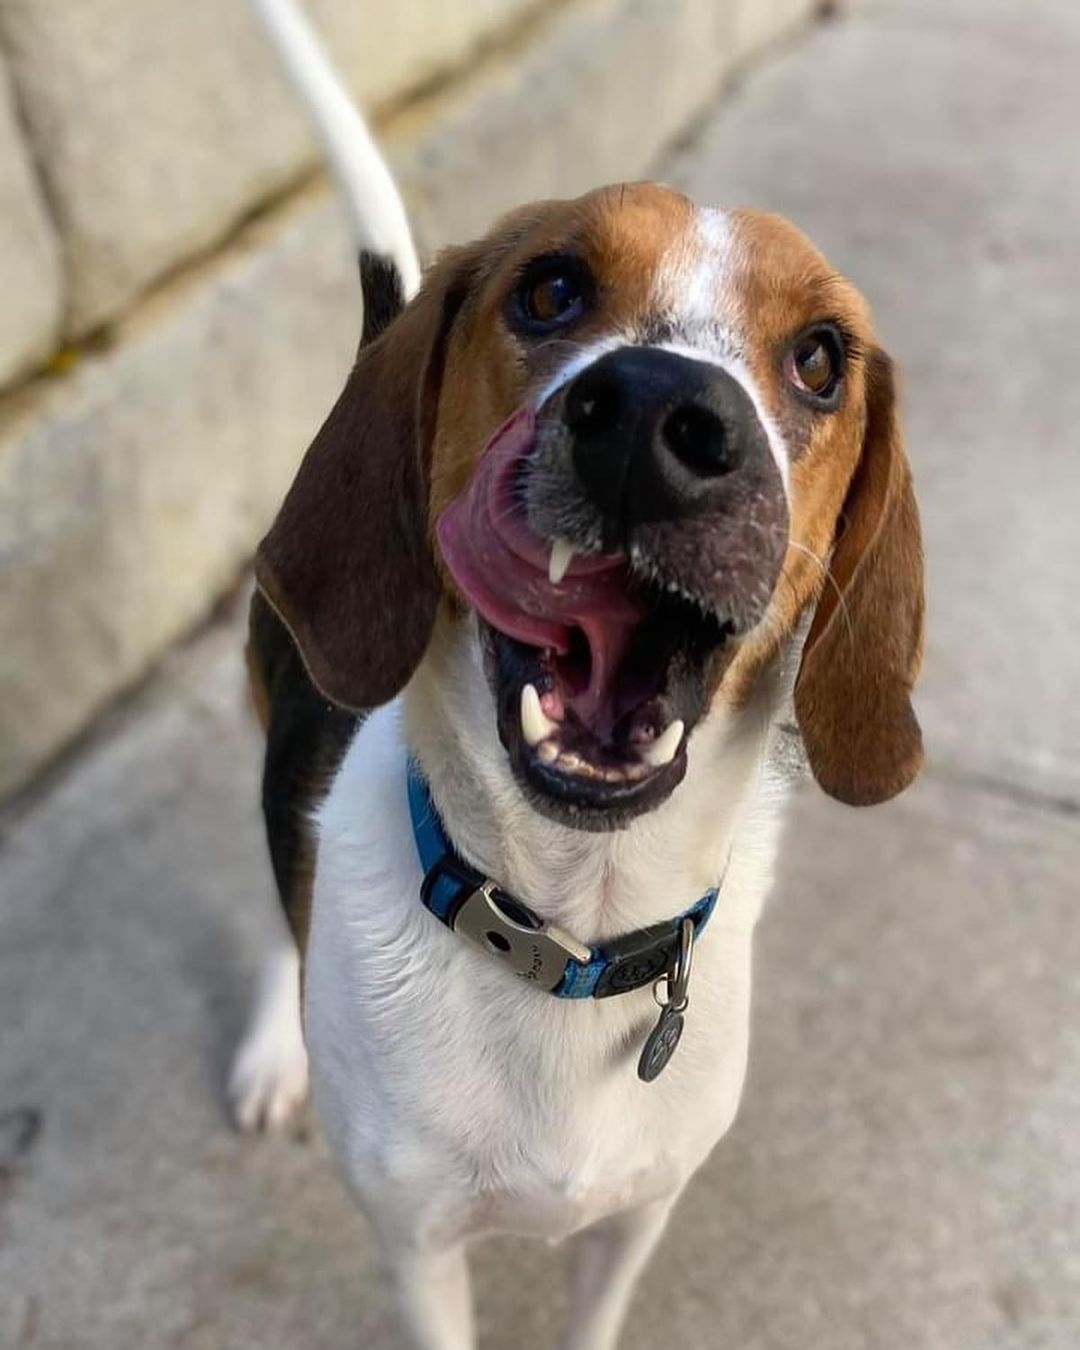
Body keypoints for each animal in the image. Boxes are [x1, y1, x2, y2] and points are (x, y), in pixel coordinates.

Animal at [232, 5, 923, 1344]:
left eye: (819, 359)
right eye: (550, 288)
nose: (660, 416)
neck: (570, 929)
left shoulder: (633, 1221)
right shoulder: (418, 1254)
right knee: (276, 884)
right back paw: (275, 1048)